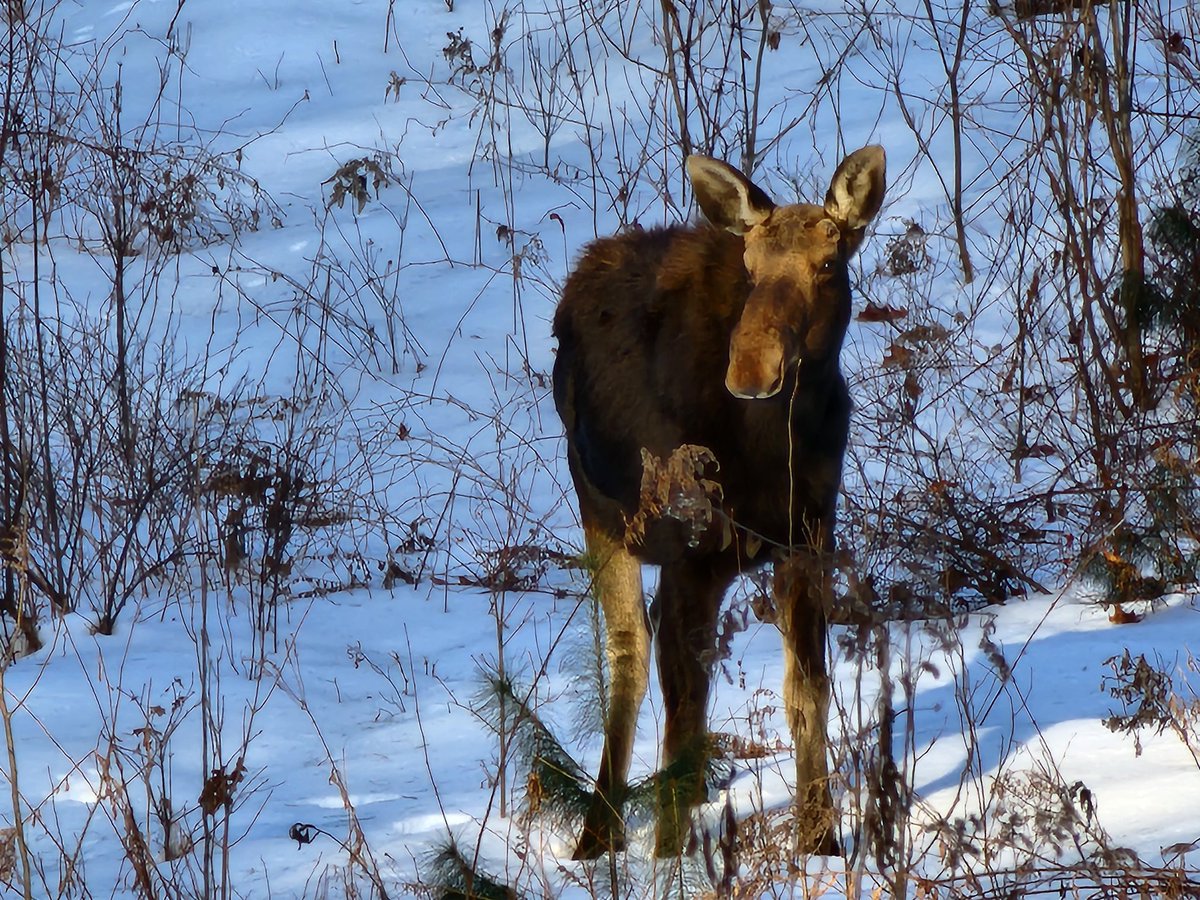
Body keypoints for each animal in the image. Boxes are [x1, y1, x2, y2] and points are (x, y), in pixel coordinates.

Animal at [551, 145, 886, 859]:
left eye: (827, 263)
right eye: (750, 269)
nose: (752, 369)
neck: (774, 449)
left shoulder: (807, 538)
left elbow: (806, 691)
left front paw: (821, 839)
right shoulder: (691, 561)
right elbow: (680, 719)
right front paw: (668, 857)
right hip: (604, 518)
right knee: (630, 654)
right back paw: (598, 834)